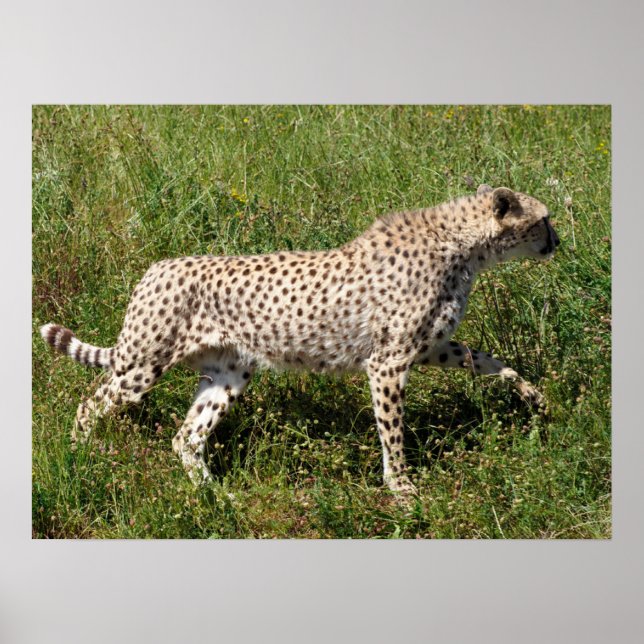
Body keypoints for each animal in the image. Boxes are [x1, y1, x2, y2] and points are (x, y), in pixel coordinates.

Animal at [40, 184, 559, 499]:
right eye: (545, 219)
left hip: (228, 375)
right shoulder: (388, 362)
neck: (464, 244)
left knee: (186, 437)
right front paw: (402, 489)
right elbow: (392, 431)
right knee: (91, 403)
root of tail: (156, 267)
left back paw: (216, 496)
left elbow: (491, 361)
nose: (558, 241)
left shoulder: (429, 347)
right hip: (143, 366)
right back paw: (79, 454)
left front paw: (535, 397)